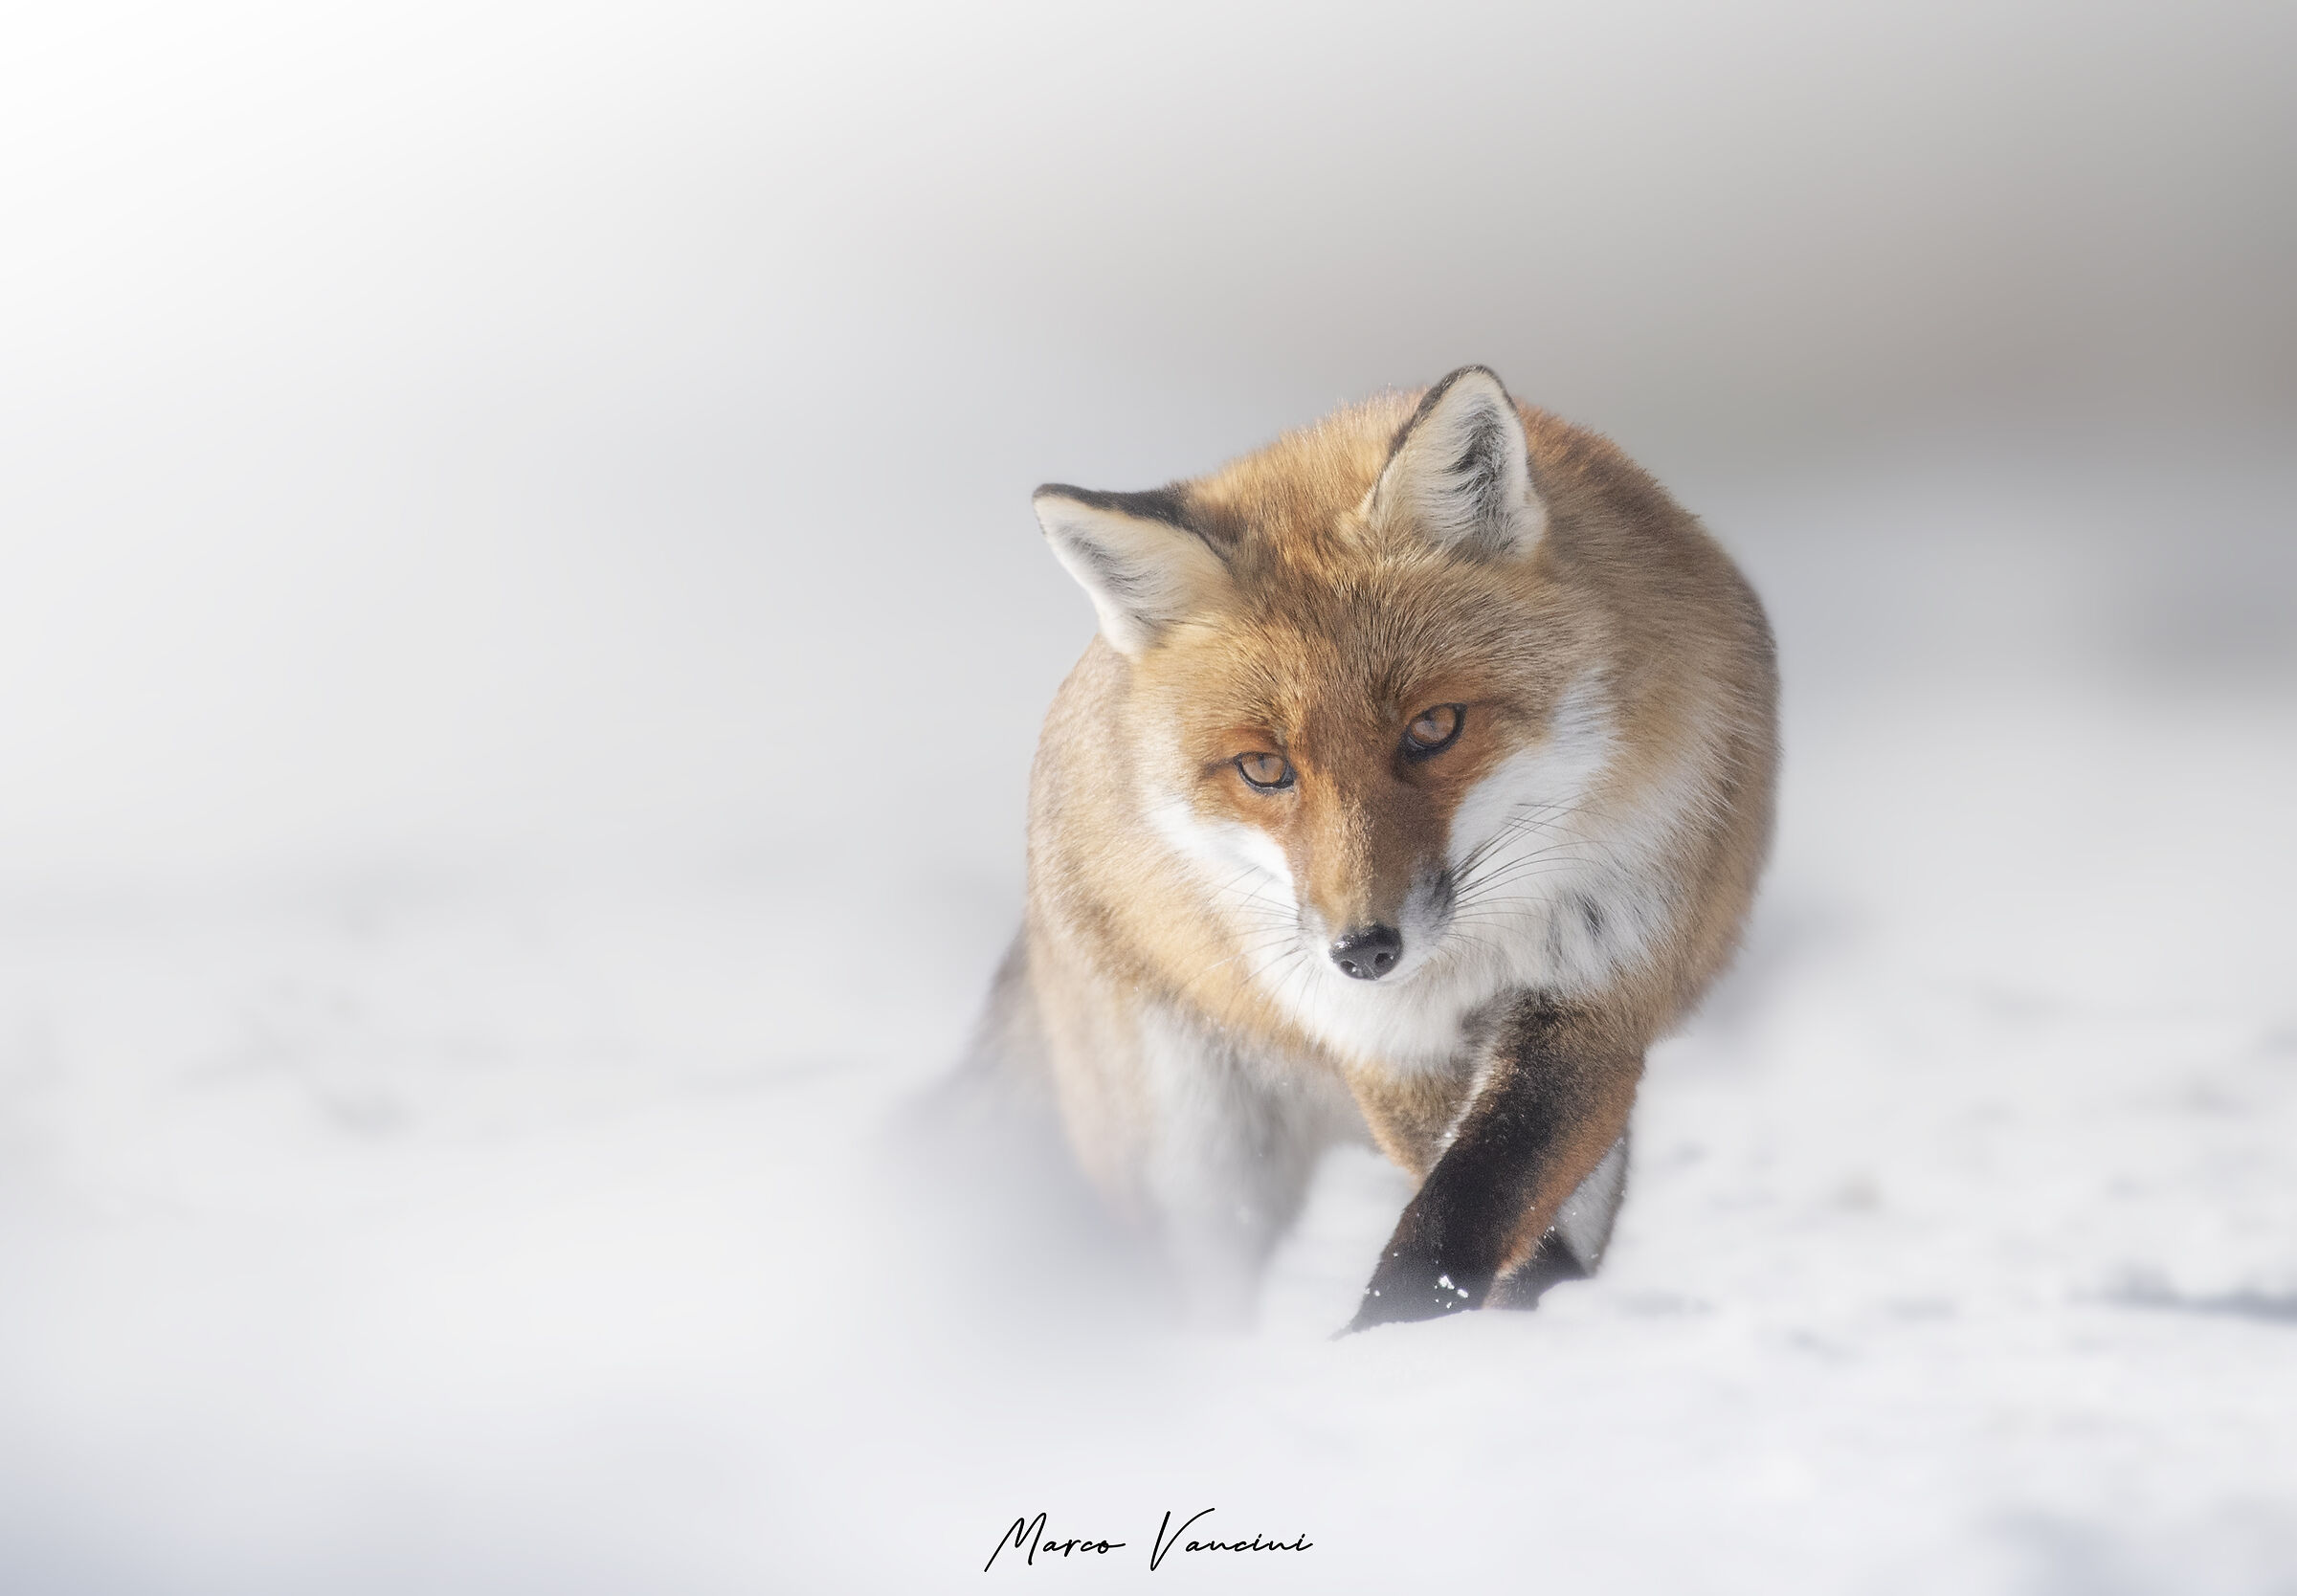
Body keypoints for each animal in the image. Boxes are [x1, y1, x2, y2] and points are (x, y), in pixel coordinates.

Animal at [959, 366, 1777, 1331]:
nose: (1364, 950)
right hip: (1200, 1166)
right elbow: (1466, 1204)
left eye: (1433, 727)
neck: (1469, 960)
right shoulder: (1381, 1043)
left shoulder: (1598, 992)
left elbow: (1479, 1196)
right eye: (1264, 768)